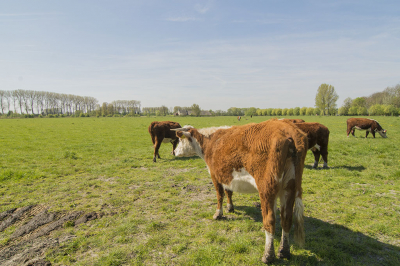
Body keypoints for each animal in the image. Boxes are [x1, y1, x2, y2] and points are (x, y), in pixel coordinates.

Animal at [172, 120, 306, 264]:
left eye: (180, 140)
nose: (174, 152)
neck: (210, 141)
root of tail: (287, 129)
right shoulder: (225, 176)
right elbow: (228, 192)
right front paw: (230, 207)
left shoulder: (215, 175)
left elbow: (219, 195)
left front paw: (218, 214)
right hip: (289, 187)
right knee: (286, 218)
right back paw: (284, 251)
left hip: (267, 189)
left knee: (270, 220)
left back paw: (268, 255)